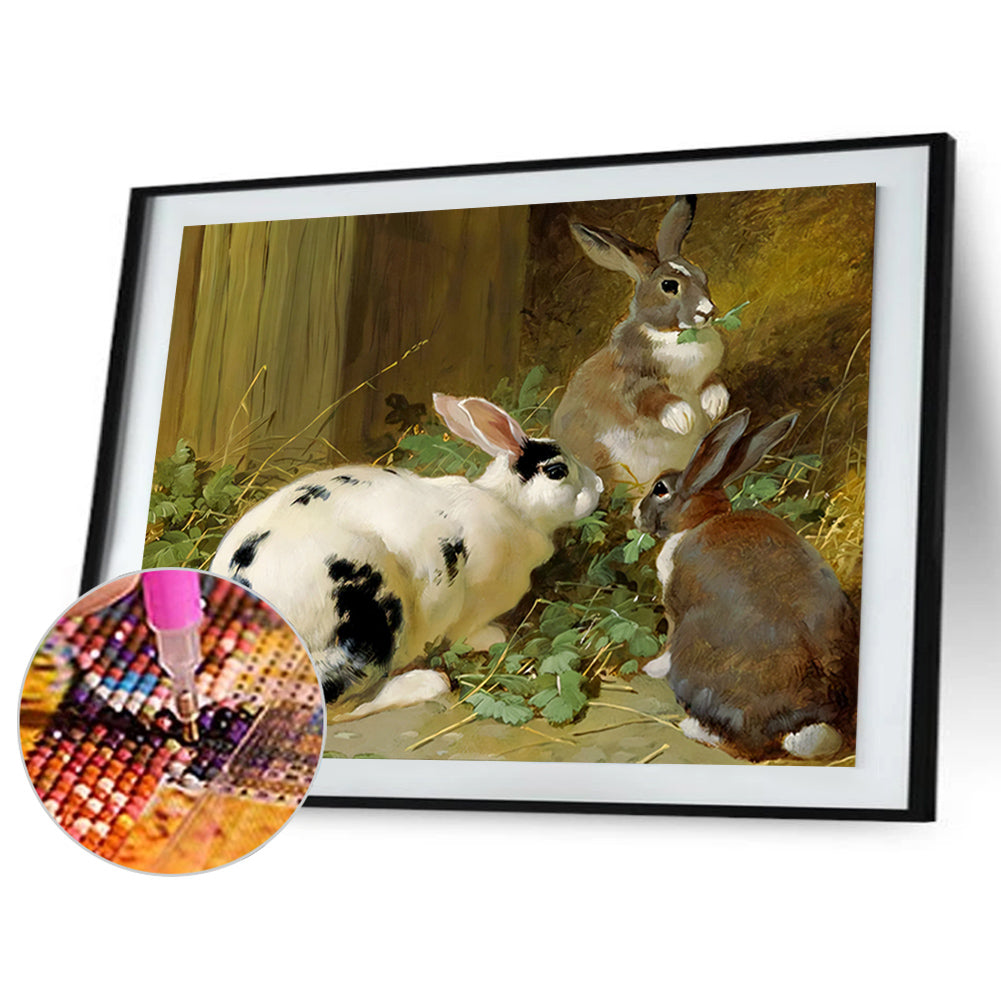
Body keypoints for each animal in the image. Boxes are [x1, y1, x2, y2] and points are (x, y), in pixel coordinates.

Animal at [210, 394, 602, 714]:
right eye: (557, 471)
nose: (599, 486)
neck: (511, 508)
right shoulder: (471, 607)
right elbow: (470, 633)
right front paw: (494, 637)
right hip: (372, 617)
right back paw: (429, 683)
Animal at [551, 195, 729, 493]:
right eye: (669, 286)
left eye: (703, 276)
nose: (708, 311)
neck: (671, 335)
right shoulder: (629, 379)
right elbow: (650, 396)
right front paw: (682, 418)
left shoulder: (705, 374)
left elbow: (713, 382)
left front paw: (716, 404)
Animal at [633, 408, 859, 762]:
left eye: (660, 489)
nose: (635, 515)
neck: (699, 520)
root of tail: (808, 721)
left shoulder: (674, 610)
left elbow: (665, 645)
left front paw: (651, 668)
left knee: (747, 745)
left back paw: (694, 728)